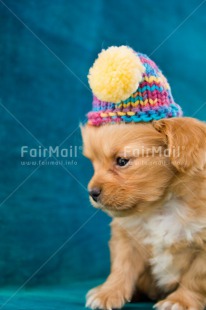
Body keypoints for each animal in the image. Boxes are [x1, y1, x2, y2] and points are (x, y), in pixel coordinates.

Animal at [82, 117, 206, 310]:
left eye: (122, 161)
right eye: (94, 163)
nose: (92, 192)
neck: (161, 206)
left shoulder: (202, 251)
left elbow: (195, 278)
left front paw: (180, 300)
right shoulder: (126, 239)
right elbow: (121, 268)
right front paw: (108, 292)